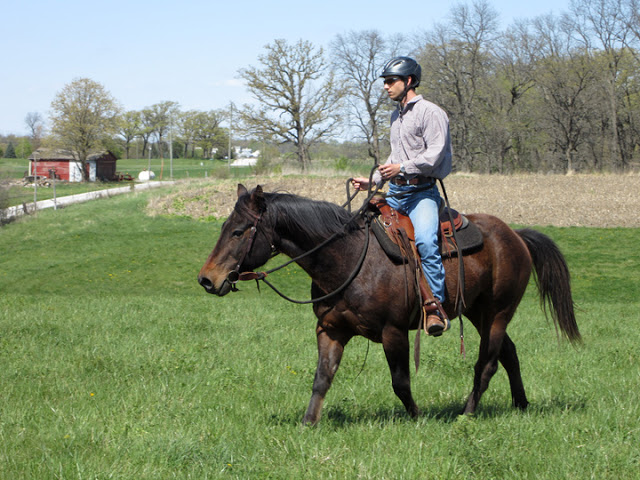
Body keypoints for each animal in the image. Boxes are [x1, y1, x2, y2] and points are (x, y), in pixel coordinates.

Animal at [198, 184, 581, 425]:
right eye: (224, 226)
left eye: (239, 231)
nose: (207, 279)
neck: (348, 257)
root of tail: (516, 236)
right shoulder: (330, 330)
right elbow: (322, 378)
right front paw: (308, 423)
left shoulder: (393, 332)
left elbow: (400, 382)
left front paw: (418, 418)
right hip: (477, 312)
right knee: (509, 353)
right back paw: (521, 405)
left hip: (498, 312)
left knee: (486, 364)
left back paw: (467, 414)